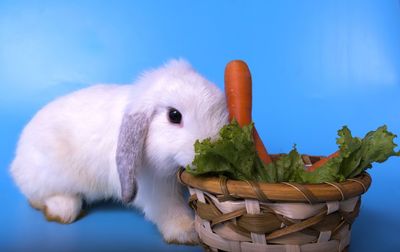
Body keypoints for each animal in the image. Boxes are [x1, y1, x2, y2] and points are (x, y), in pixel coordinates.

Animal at [10, 59, 228, 244]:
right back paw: (63, 210)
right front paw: (188, 232)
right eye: (174, 115)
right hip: (51, 176)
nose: (213, 151)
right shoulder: (154, 188)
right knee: (39, 196)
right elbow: (168, 209)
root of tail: (17, 159)